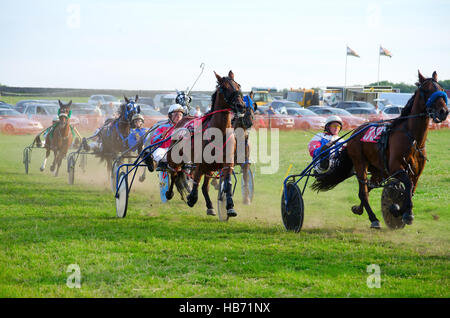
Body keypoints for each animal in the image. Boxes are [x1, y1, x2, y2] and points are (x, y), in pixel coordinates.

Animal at [162, 71, 248, 217]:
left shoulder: (227, 163)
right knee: (174, 173)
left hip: (211, 167)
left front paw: (230, 206)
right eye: (224, 87)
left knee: (204, 186)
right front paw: (191, 198)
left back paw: (210, 206)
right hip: (175, 158)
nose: (240, 106)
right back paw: (169, 193)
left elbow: (227, 182)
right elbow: (196, 179)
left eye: (238, 85)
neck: (219, 133)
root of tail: (182, 120)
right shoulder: (200, 162)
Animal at [312, 70, 448, 229]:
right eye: (426, 90)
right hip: (360, 164)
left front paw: (400, 210)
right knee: (364, 191)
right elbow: (407, 186)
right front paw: (405, 213)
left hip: (379, 170)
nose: (443, 111)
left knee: (368, 188)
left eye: (442, 89)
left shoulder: (416, 172)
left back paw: (358, 209)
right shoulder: (396, 167)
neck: (413, 139)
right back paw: (373, 218)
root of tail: (355, 132)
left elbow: (411, 189)